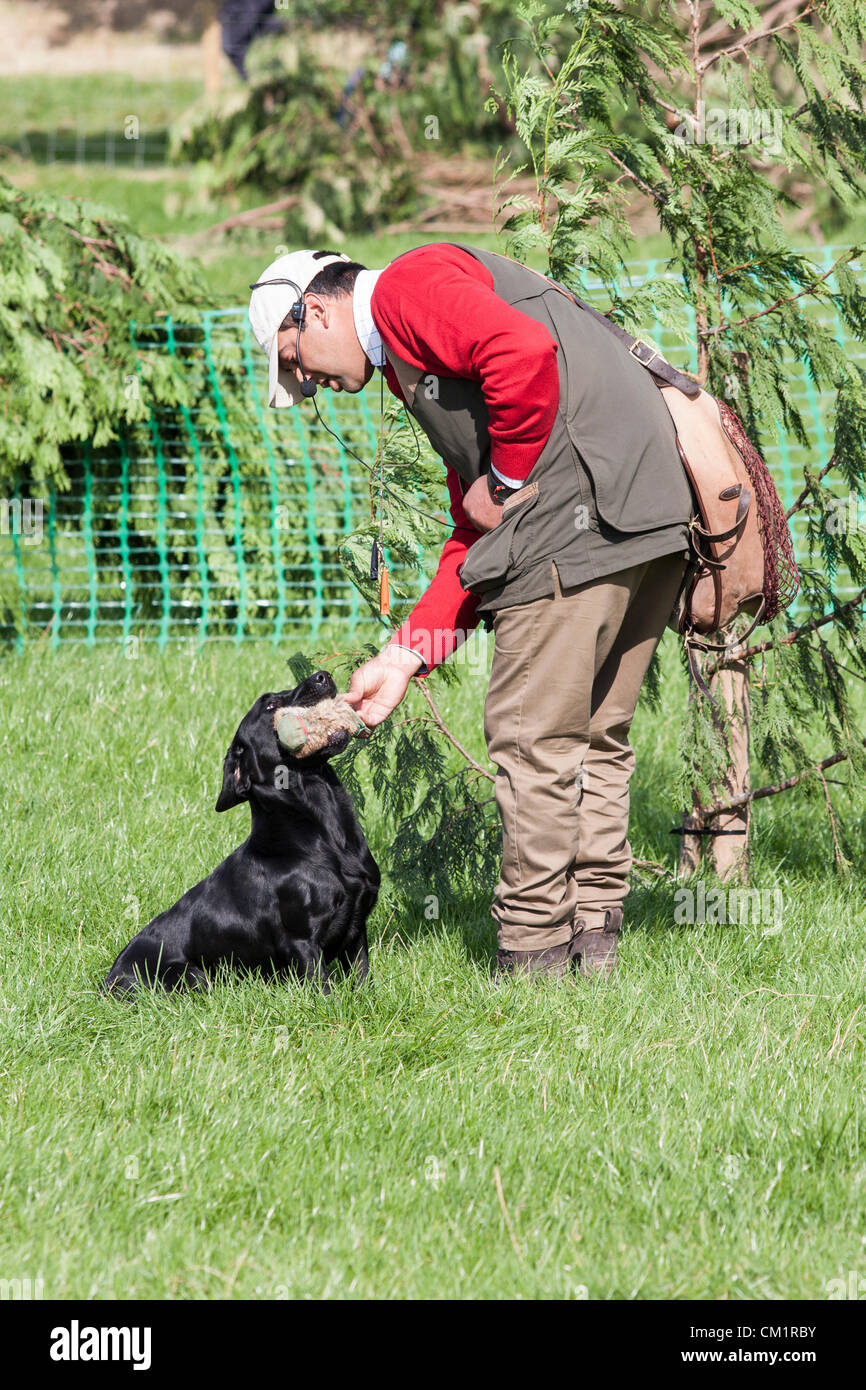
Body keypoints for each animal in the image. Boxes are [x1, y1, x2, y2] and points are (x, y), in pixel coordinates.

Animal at [102, 667, 378, 995]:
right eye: (270, 705)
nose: (322, 675)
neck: (325, 834)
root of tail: (109, 982)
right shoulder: (302, 942)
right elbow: (322, 990)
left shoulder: (357, 928)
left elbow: (363, 976)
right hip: (192, 976)